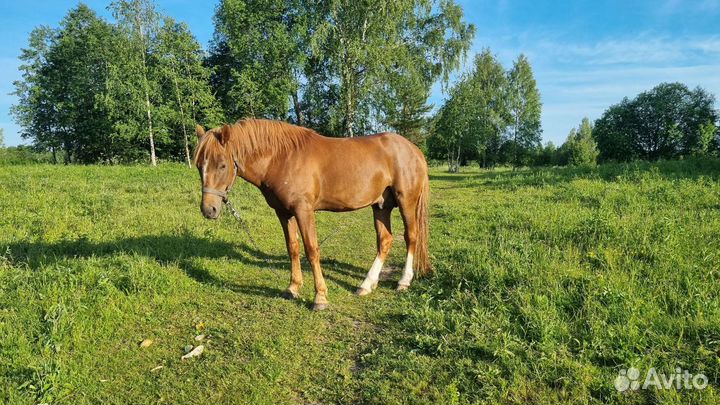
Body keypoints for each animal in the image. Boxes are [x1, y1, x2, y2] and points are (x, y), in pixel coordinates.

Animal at [193, 119, 430, 310]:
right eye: (199, 166)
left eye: (222, 165)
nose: (208, 210)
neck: (282, 158)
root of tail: (414, 150)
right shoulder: (283, 213)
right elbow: (293, 248)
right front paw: (292, 288)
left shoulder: (303, 211)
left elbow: (311, 250)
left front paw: (320, 298)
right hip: (381, 206)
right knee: (385, 241)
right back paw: (366, 284)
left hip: (406, 202)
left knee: (411, 237)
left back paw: (403, 281)